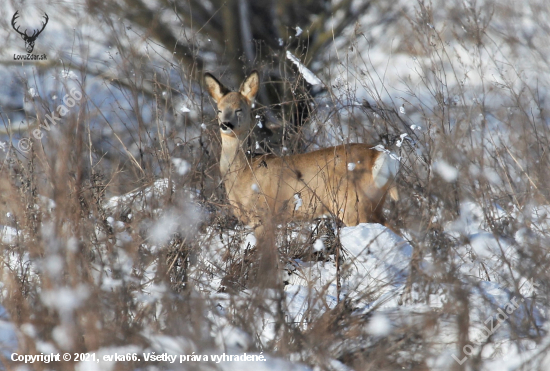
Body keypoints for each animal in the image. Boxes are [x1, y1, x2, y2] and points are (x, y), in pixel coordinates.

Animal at [207, 71, 402, 237]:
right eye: (219, 110)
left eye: (239, 109)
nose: (225, 124)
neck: (242, 172)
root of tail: (381, 158)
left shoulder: (262, 214)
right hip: (373, 204)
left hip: (353, 203)